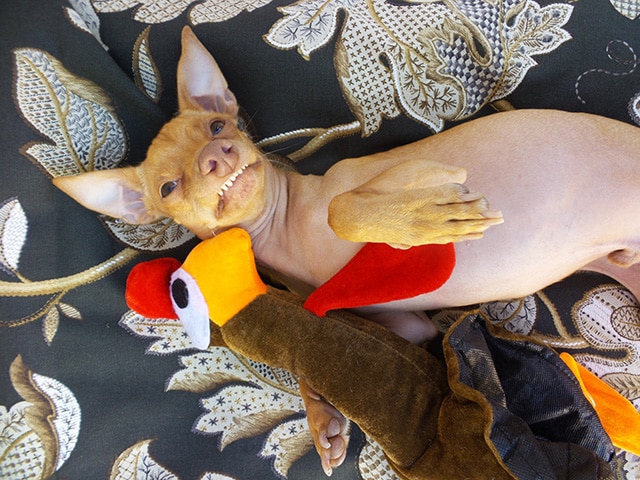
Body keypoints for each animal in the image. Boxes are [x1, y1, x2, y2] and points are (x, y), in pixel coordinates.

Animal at [53, 29, 640, 476]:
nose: (218, 155)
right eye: (169, 187)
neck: (286, 226)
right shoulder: (406, 325)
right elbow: (316, 340)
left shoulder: (421, 172)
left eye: (218, 125)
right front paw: (321, 421)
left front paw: (429, 221)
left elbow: (343, 209)